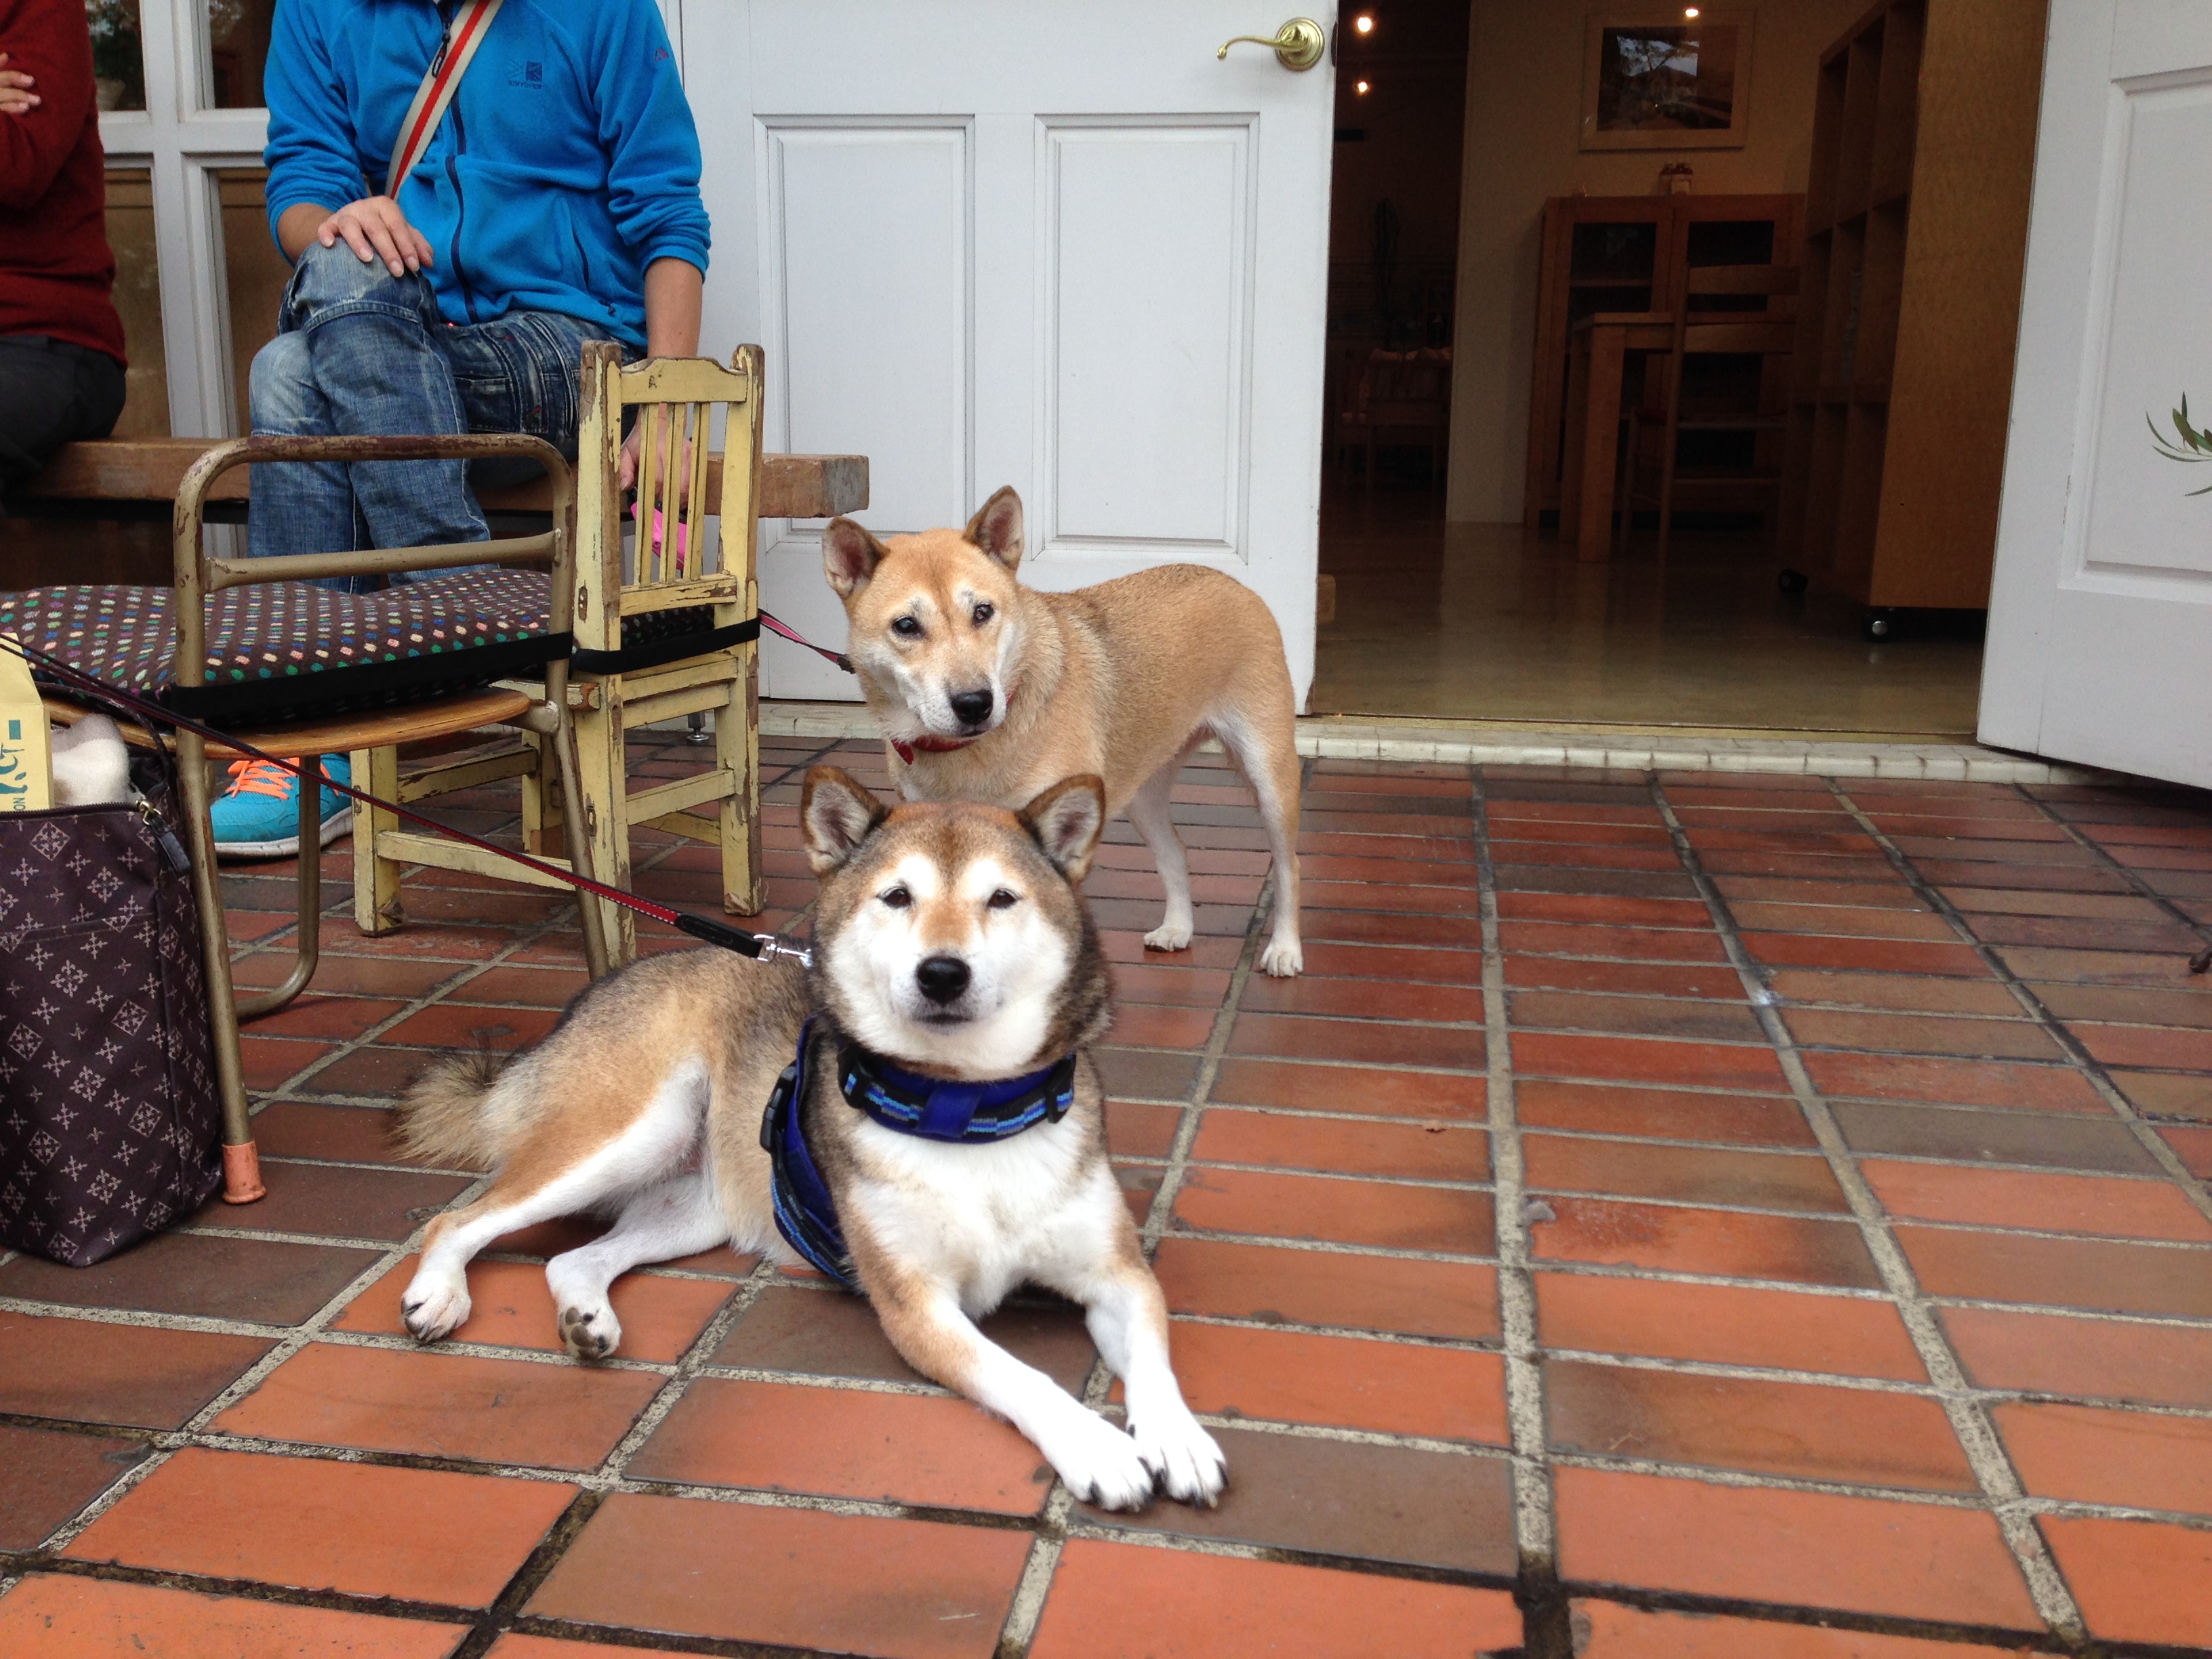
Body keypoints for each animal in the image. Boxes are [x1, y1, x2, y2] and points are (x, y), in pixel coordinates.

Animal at [392, 767, 1226, 1510]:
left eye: (1001, 898)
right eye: (897, 896)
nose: (943, 973)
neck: (964, 1108)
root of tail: (602, 990)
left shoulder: (1117, 1272)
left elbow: (1154, 1353)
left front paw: (1177, 1437)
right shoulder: (916, 1305)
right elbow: (1025, 1376)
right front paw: (1097, 1447)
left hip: (695, 1206)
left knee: (572, 1258)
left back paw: (586, 1320)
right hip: (627, 1132)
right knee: (458, 1219)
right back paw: (440, 1294)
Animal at [822, 486, 1304, 977]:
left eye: (983, 612)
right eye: (906, 626)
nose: (975, 703)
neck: (969, 755)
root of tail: (1231, 581)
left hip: (1269, 776)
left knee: (1289, 865)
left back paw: (1285, 949)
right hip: (1142, 790)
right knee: (1175, 852)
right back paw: (1177, 928)